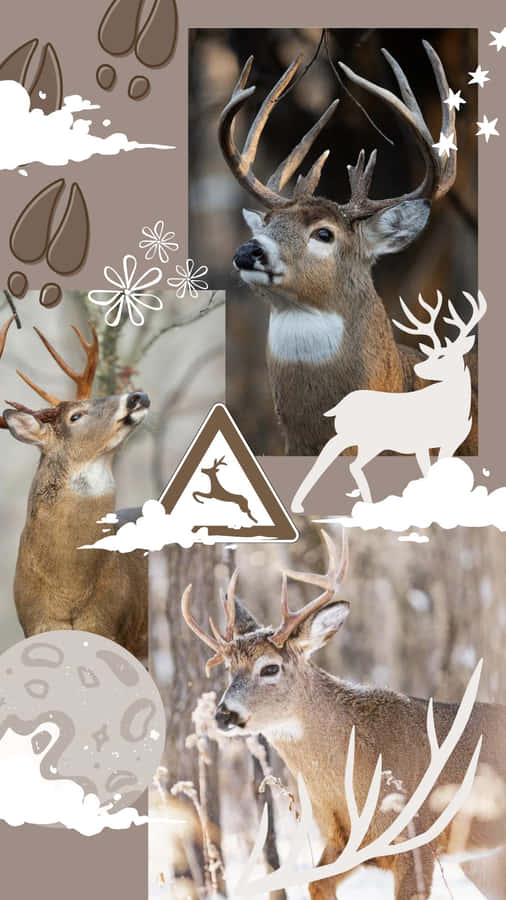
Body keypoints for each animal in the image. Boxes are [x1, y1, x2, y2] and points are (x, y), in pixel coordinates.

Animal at [181, 530, 506, 900]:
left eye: (270, 668)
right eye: (229, 670)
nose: (223, 714)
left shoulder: (419, 839)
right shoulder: (343, 840)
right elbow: (316, 883)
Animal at [292, 290, 486, 507]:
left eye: (444, 358)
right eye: (435, 356)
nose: (419, 368)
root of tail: (340, 405)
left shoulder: (450, 442)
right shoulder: (423, 442)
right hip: (366, 439)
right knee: (348, 461)